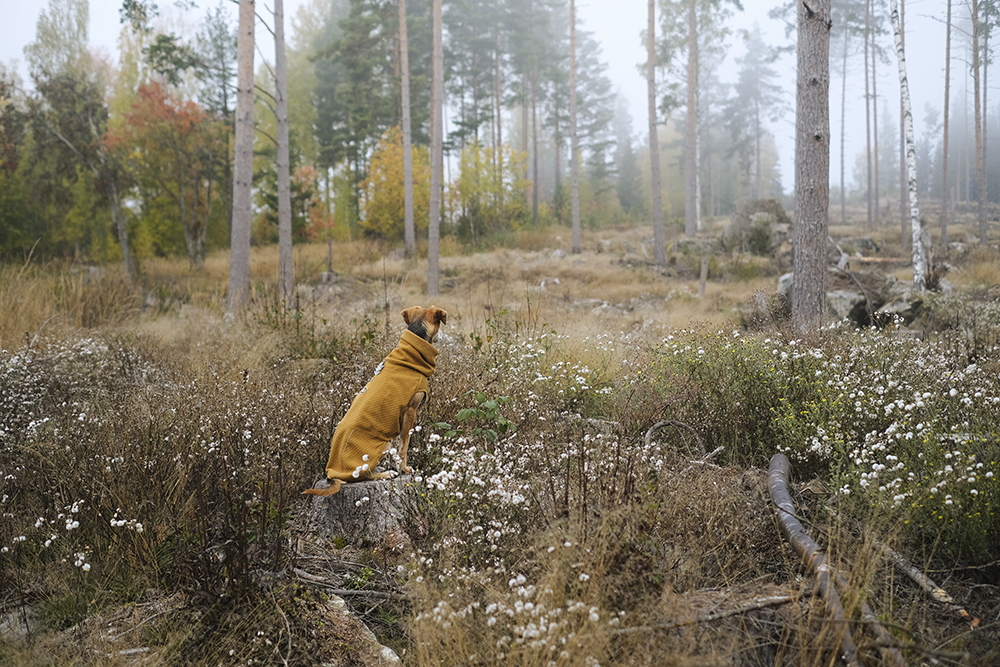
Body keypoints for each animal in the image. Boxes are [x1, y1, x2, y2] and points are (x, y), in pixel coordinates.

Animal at [300, 306, 446, 496]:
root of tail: (332, 475)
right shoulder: (410, 411)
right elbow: (404, 446)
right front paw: (404, 469)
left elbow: (398, 448)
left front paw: (398, 466)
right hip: (380, 446)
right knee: (361, 475)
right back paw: (385, 474)